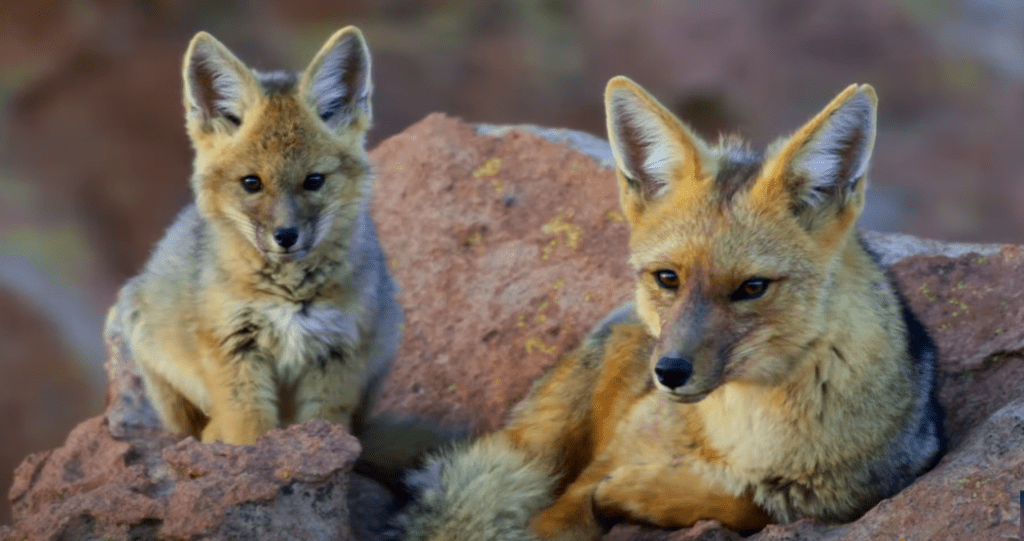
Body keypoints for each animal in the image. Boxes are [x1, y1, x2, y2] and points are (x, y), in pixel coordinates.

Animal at [111, 27, 399, 446]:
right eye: (252, 183)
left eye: (314, 181)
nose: (286, 236)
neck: (287, 295)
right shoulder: (234, 348)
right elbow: (247, 431)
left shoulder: (336, 351)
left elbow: (324, 424)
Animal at [391, 80, 942, 541]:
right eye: (667, 278)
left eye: (752, 288)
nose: (669, 372)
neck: (746, 434)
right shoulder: (592, 473)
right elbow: (559, 513)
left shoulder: (842, 499)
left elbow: (748, 503)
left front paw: (643, 492)